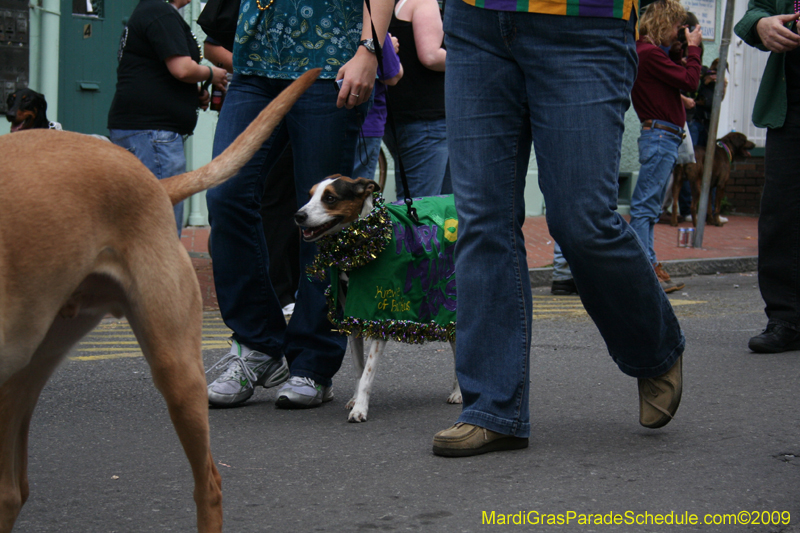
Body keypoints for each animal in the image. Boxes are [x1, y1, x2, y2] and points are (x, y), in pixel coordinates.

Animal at [294, 177, 460, 422]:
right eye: (310, 195)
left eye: (330, 198)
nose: (299, 215)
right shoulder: (353, 320)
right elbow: (358, 369)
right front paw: (355, 400)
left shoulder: (381, 318)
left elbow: (367, 374)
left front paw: (360, 409)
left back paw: (459, 392)